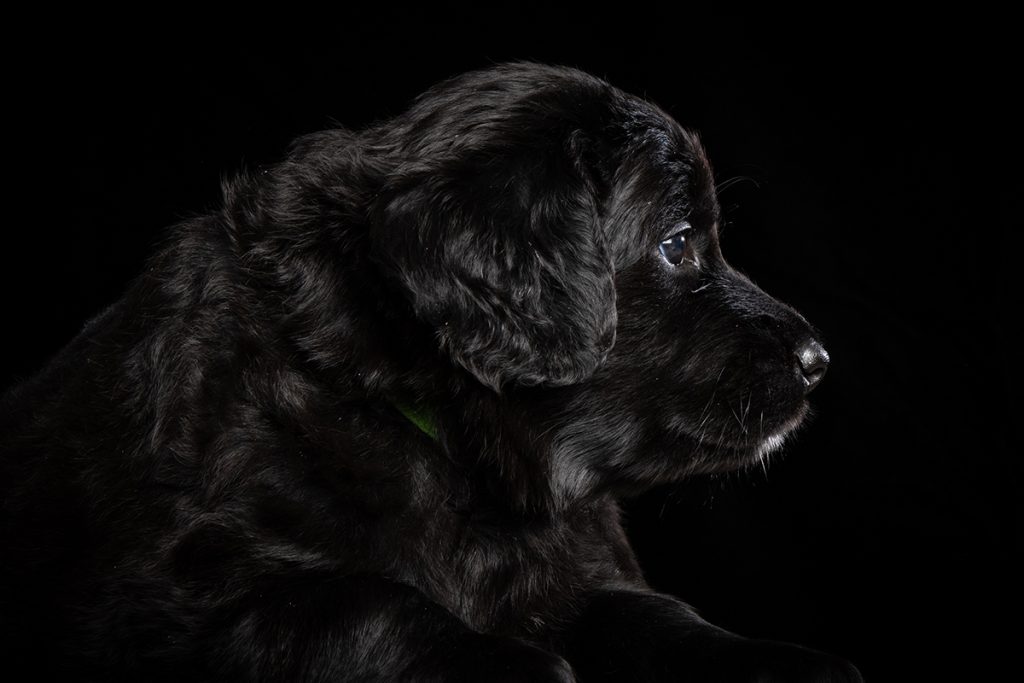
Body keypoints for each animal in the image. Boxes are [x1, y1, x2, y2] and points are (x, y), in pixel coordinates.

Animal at [1, 63, 860, 681]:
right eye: (679, 244)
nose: (818, 361)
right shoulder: (189, 591)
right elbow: (362, 601)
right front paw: (513, 664)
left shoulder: (575, 562)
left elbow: (657, 613)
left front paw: (786, 663)